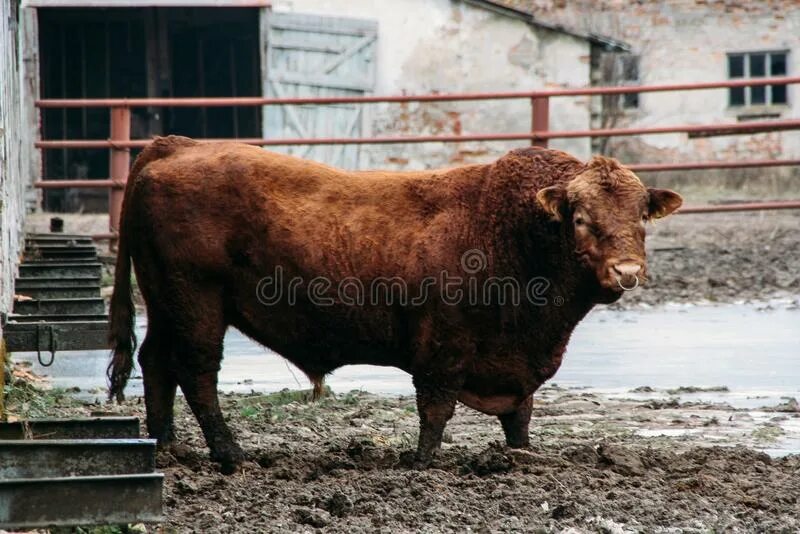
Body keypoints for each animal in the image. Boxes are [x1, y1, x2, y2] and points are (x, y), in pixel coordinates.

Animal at [107, 136, 682, 474]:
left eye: (641, 216)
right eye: (581, 218)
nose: (626, 272)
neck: (509, 232)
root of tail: (174, 145)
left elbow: (520, 414)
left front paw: (520, 457)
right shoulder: (443, 350)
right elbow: (436, 410)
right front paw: (422, 464)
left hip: (166, 305)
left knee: (156, 362)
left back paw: (167, 447)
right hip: (197, 305)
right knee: (197, 373)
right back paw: (229, 454)